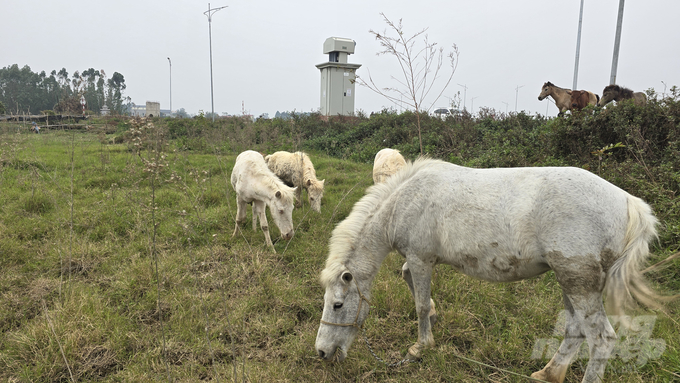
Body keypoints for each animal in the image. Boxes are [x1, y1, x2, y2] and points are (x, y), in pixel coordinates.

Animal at [316, 158, 668, 383]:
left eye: (337, 305)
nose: (321, 353)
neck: (405, 201)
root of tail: (629, 202)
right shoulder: (417, 261)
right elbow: (413, 286)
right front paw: (435, 316)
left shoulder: (420, 258)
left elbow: (418, 304)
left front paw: (420, 346)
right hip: (571, 281)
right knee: (576, 330)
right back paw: (548, 373)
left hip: (578, 281)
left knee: (601, 339)